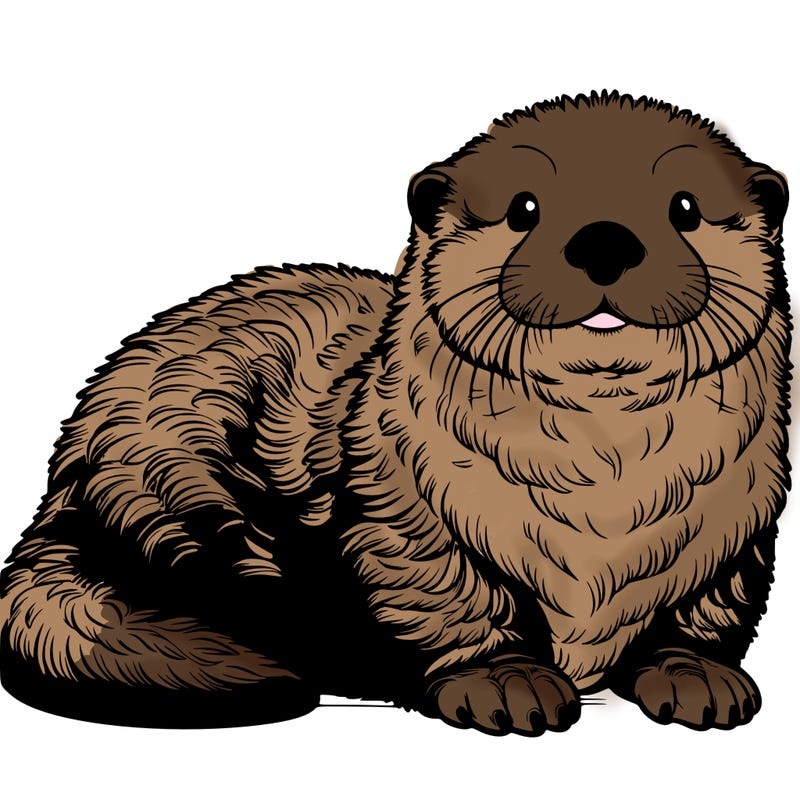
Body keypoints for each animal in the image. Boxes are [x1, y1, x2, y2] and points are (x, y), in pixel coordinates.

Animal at [0, 91, 790, 734]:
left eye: (684, 207)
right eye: (524, 207)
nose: (604, 238)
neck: (605, 503)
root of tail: (59, 491)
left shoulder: (741, 524)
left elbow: (706, 609)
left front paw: (698, 677)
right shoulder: (403, 509)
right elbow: (449, 598)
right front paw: (504, 682)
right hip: (166, 484)